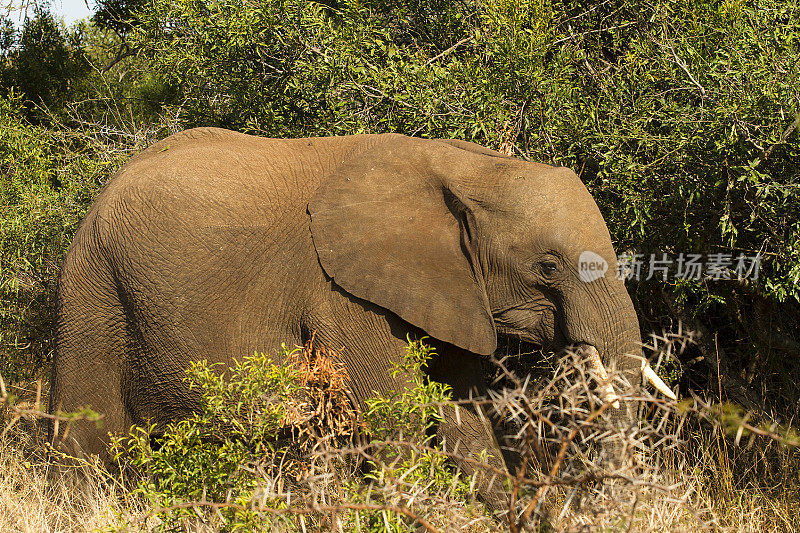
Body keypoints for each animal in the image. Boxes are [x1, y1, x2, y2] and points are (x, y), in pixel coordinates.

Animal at [48, 127, 676, 504]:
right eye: (547, 266)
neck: (464, 167)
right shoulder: (343, 294)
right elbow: (397, 419)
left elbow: (461, 414)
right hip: (94, 287)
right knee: (88, 430)